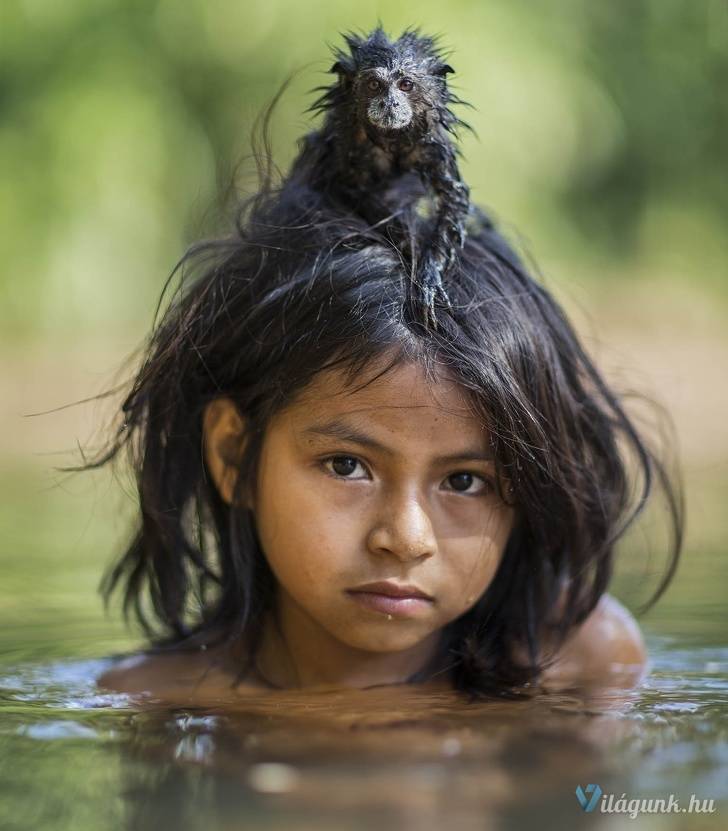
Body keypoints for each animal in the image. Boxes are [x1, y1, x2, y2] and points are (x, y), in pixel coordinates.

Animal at [284, 23, 472, 328]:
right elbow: (349, 189)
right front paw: (404, 236)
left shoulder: (431, 145)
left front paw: (428, 278)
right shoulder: (348, 141)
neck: (392, 138)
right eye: (374, 85)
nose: (389, 104)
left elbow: (453, 200)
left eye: (406, 85)